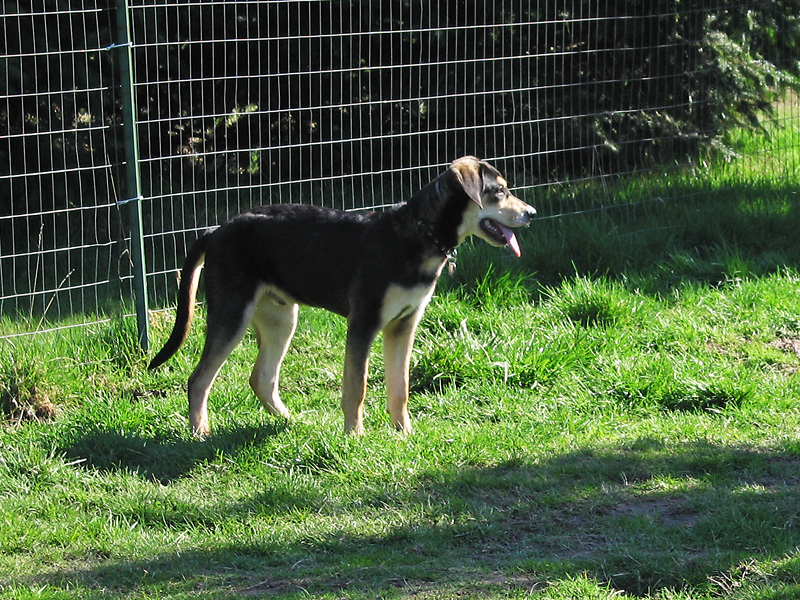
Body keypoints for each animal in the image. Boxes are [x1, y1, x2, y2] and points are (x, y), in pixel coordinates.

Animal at [150, 155, 536, 436]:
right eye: (499, 191)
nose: (531, 214)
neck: (418, 235)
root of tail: (215, 231)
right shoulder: (363, 323)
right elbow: (357, 387)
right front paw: (355, 436)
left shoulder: (404, 326)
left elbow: (400, 388)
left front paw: (404, 434)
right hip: (232, 313)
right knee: (199, 379)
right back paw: (200, 432)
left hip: (280, 318)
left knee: (262, 378)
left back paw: (292, 422)